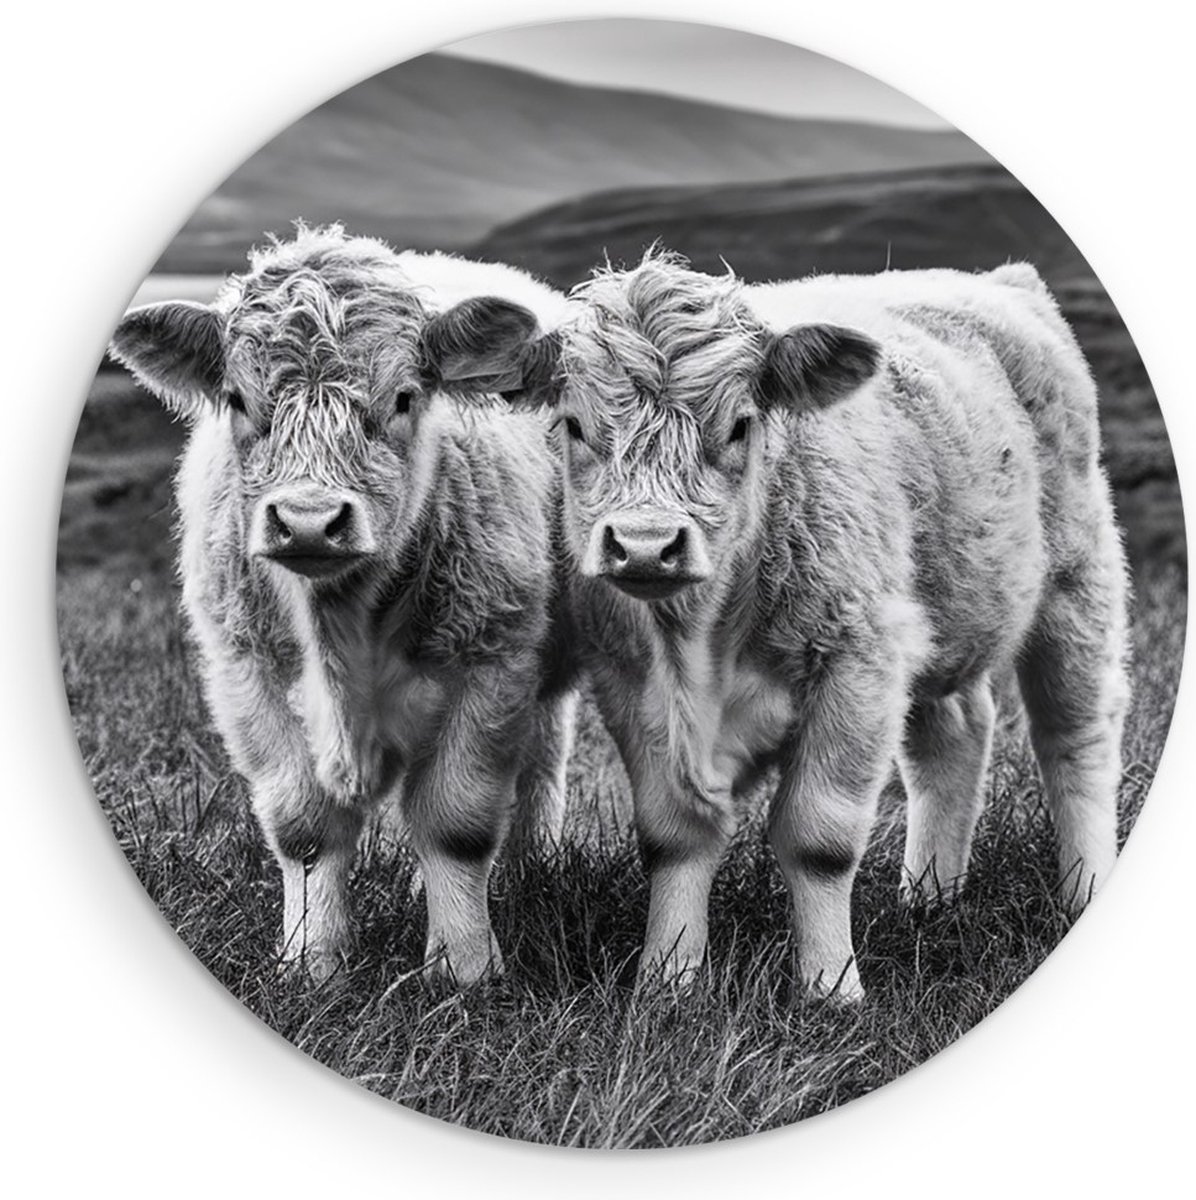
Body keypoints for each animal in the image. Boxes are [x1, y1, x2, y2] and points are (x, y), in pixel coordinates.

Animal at [109, 226, 576, 985]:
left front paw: (464, 965)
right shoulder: (244, 667)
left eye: (405, 398)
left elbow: (456, 821)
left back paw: (532, 866)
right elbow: (302, 825)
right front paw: (312, 959)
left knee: (542, 756)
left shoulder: (492, 656)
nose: (307, 522)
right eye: (237, 399)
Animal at [420, 250, 1130, 1000]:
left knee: (1076, 738)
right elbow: (674, 837)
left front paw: (829, 985)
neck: (701, 638)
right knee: (956, 736)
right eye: (574, 426)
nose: (645, 545)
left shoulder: (856, 666)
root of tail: (999, 281)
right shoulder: (632, 686)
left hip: (1079, 578)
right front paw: (669, 979)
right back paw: (930, 896)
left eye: (738, 425)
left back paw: (1084, 890)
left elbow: (819, 839)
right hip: (939, 614)